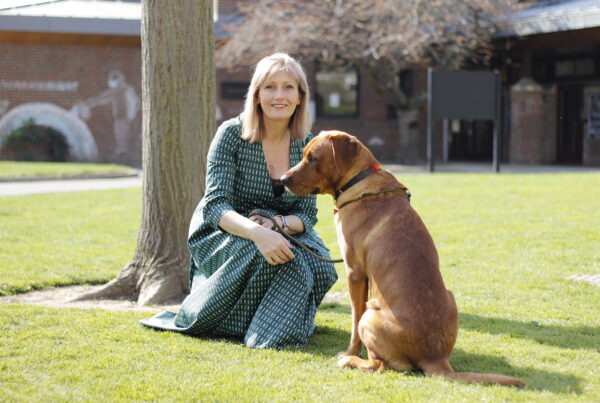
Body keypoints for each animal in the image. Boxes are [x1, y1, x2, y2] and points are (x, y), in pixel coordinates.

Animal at [282, 131, 524, 386]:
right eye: (304, 155)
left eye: (313, 158)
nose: (282, 180)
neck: (358, 179)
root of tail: (435, 358)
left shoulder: (354, 272)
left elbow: (353, 322)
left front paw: (349, 352)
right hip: (451, 298)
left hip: (370, 314)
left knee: (379, 364)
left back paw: (350, 361)